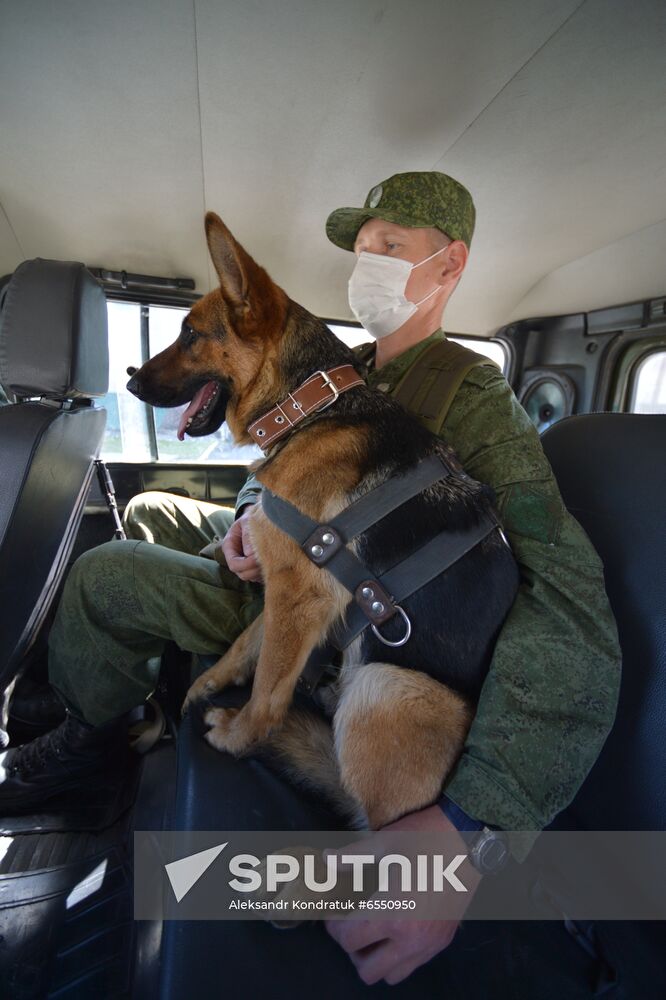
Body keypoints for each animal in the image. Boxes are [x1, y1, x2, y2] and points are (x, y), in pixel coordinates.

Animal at [126, 213, 520, 828]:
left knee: (366, 811)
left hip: (387, 683)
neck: (313, 406)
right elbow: (250, 643)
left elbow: (268, 687)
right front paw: (211, 683)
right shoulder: (281, 581)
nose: (127, 381)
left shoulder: (301, 591)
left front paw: (241, 734)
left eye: (190, 334)